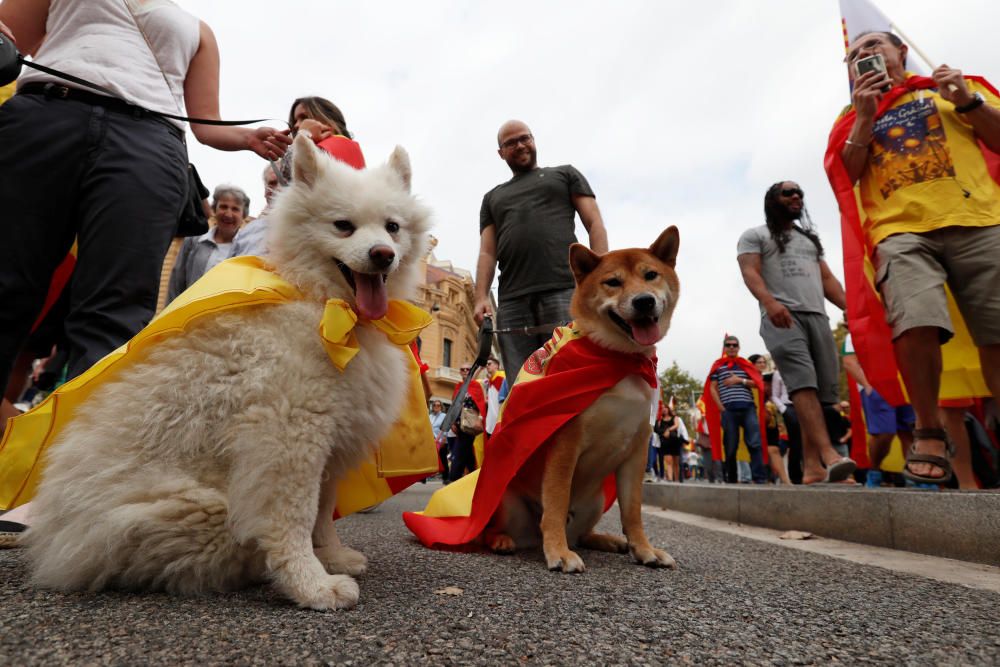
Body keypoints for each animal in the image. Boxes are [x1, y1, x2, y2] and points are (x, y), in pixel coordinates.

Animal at [23, 136, 430, 612]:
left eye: (392, 227)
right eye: (343, 226)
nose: (383, 255)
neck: (326, 305)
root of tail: (54, 541)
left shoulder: (331, 439)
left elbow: (323, 512)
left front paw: (330, 557)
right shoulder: (287, 437)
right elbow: (294, 518)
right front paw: (311, 584)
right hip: (197, 507)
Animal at [484, 227, 680, 572]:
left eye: (651, 275)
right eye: (613, 282)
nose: (644, 301)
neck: (618, 359)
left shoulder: (637, 450)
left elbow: (632, 512)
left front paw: (644, 549)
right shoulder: (565, 442)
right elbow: (557, 502)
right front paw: (558, 552)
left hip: (596, 501)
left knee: (582, 533)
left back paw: (607, 540)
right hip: (507, 500)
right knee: (506, 527)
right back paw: (502, 541)